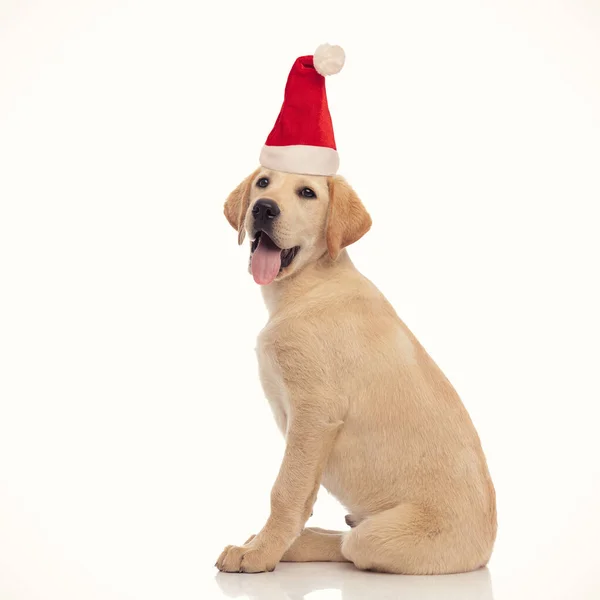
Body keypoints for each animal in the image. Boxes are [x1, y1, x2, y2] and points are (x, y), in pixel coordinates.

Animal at [216, 166, 496, 576]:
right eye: (263, 183)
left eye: (307, 193)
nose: (264, 208)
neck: (311, 284)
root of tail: (487, 549)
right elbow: (301, 495)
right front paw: (271, 544)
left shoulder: (315, 415)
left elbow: (286, 490)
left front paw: (262, 553)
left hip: (382, 537)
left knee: (351, 545)